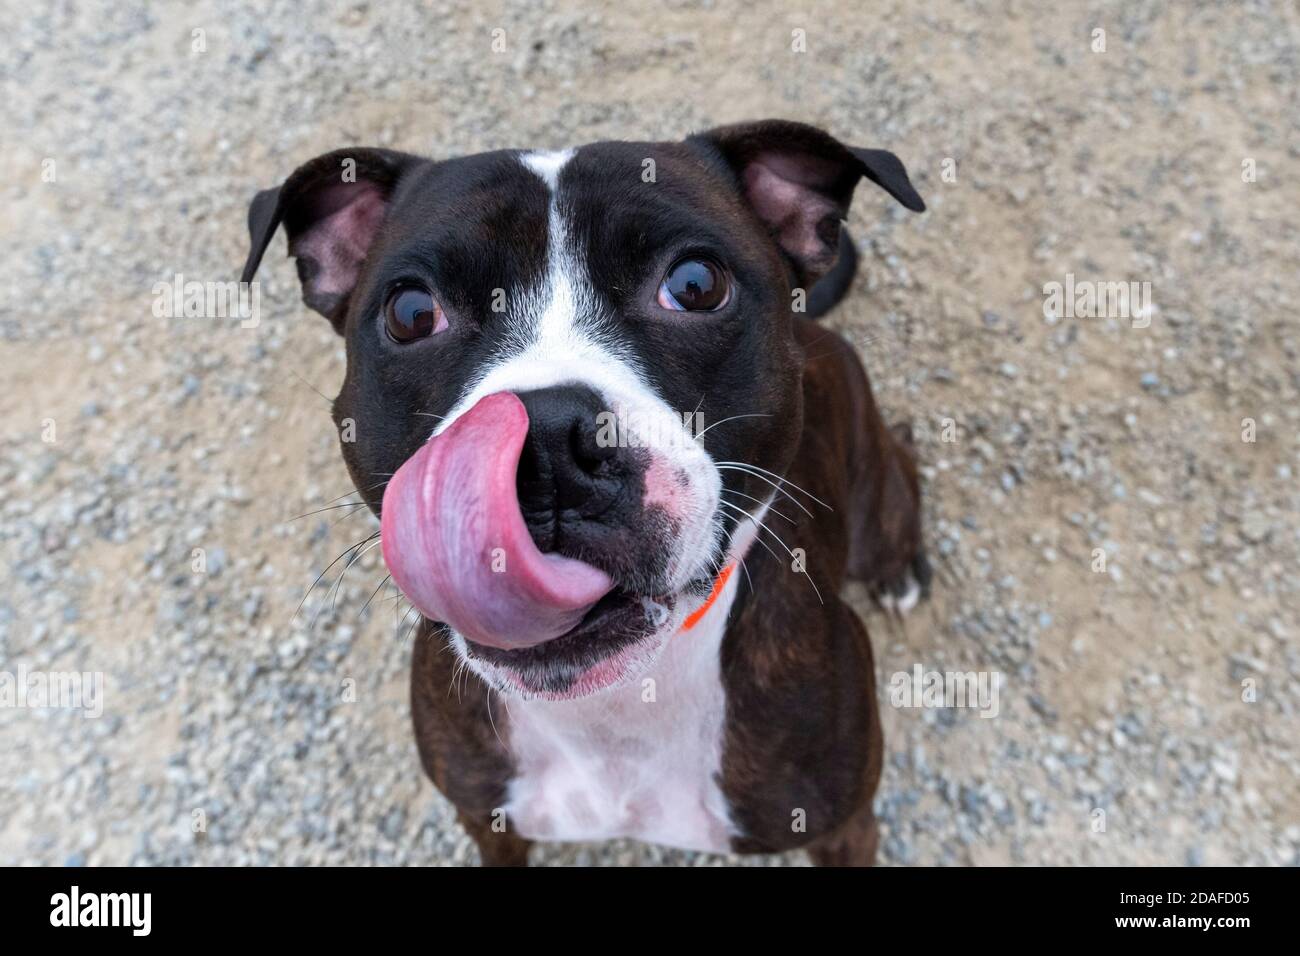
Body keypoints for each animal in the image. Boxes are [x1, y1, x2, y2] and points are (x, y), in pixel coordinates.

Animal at [239, 121, 930, 868]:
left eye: (695, 285)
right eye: (411, 312)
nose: (545, 447)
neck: (611, 710)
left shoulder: (845, 828)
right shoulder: (489, 821)